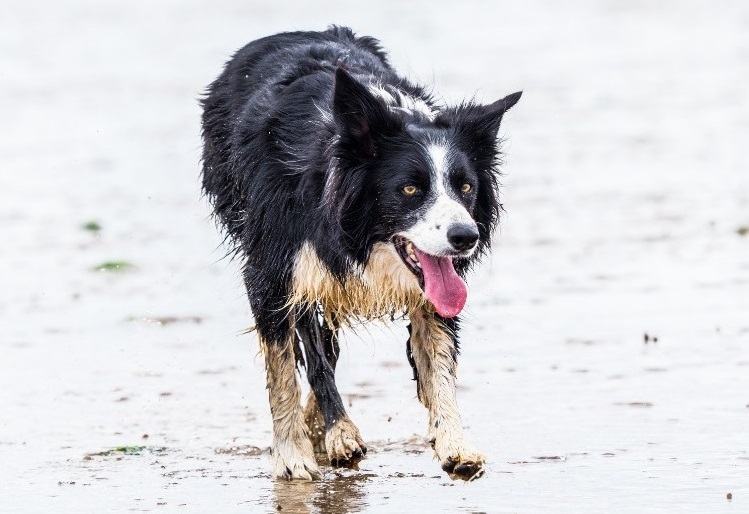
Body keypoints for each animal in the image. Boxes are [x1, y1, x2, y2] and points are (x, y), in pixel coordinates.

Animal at [200, 25, 520, 480]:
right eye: (410, 188)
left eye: (465, 186)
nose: (465, 236)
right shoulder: (275, 271)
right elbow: (284, 368)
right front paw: (294, 455)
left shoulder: (433, 284)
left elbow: (439, 359)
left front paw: (455, 443)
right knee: (315, 348)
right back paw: (332, 430)